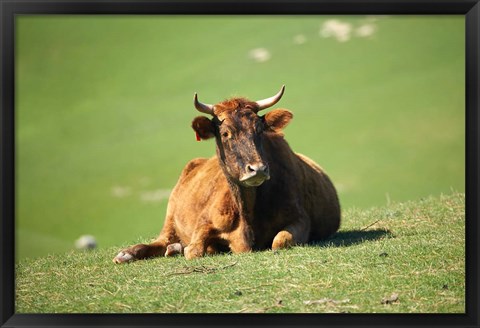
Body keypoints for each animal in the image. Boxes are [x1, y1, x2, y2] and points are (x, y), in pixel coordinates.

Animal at [114, 85, 342, 264]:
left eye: (259, 130)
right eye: (225, 133)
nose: (257, 169)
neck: (248, 210)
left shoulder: (300, 219)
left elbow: (279, 241)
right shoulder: (205, 222)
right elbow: (194, 250)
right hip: (170, 217)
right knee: (161, 241)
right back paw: (128, 253)